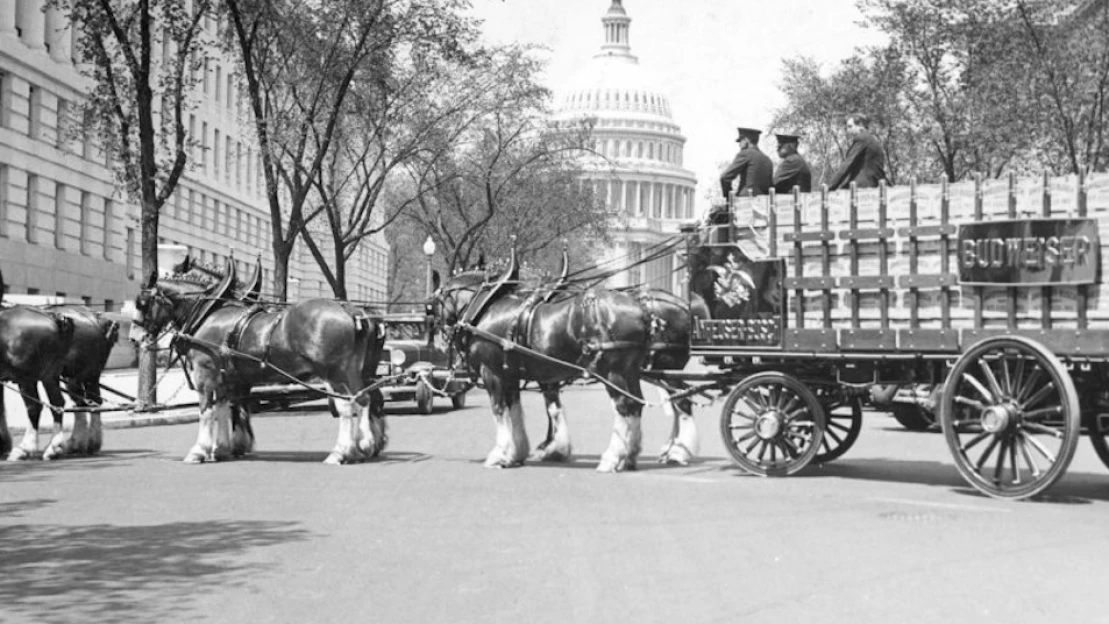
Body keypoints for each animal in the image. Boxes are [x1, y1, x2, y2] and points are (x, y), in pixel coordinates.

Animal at [131, 256, 385, 465]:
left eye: (142, 303)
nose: (134, 337)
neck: (210, 313)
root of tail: (350, 311)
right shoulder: (226, 377)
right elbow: (223, 408)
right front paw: (221, 449)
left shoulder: (205, 374)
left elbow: (206, 411)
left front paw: (199, 450)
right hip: (352, 371)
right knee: (363, 399)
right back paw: (363, 446)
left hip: (333, 373)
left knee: (347, 406)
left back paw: (341, 452)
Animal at [430, 251, 696, 472]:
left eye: (433, 305)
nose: (440, 341)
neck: (486, 307)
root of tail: (644, 311)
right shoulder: (513, 373)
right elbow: (519, 409)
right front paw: (520, 452)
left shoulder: (493, 372)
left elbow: (501, 410)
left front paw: (502, 454)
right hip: (633, 371)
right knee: (650, 404)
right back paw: (636, 455)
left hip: (617, 371)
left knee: (634, 405)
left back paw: (623, 456)